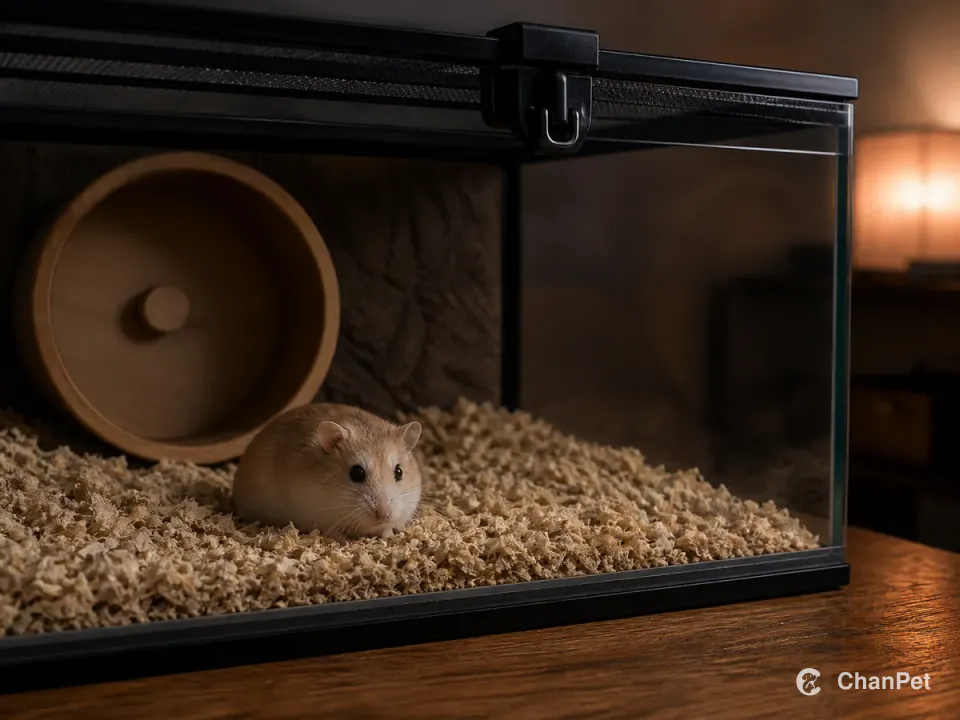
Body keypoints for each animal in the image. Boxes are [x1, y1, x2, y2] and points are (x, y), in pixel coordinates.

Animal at [232, 403, 423, 541]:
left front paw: (389, 536)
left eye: (399, 472)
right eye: (357, 473)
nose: (384, 514)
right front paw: (344, 540)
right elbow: (330, 530)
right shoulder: (311, 515)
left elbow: (387, 529)